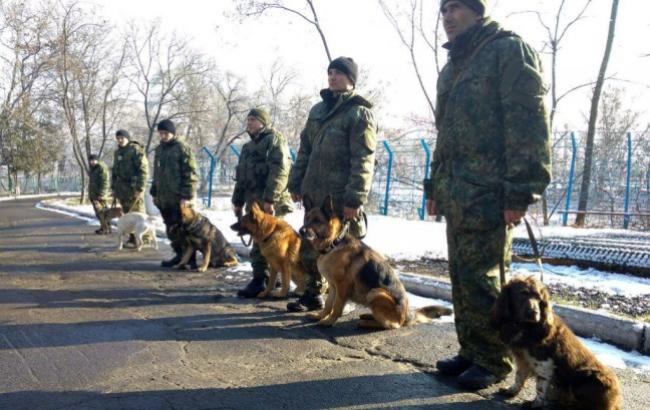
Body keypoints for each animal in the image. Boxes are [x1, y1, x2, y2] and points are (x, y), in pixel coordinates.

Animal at [298, 195, 450, 330]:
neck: (334, 244)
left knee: (391, 325)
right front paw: (321, 316)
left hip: (375, 293)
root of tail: (406, 315)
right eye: (306, 219)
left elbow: (336, 307)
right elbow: (328, 304)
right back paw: (368, 316)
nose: (301, 231)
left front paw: (329, 321)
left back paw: (366, 323)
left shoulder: (342, 287)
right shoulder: (333, 286)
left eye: (317, 221)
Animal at [492, 276, 616, 410]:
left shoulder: (544, 363)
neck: (526, 327)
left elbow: (540, 386)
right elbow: (519, 376)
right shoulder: (521, 358)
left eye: (539, 298)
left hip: (593, 376)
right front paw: (512, 390)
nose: (534, 313)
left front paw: (535, 404)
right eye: (523, 293)